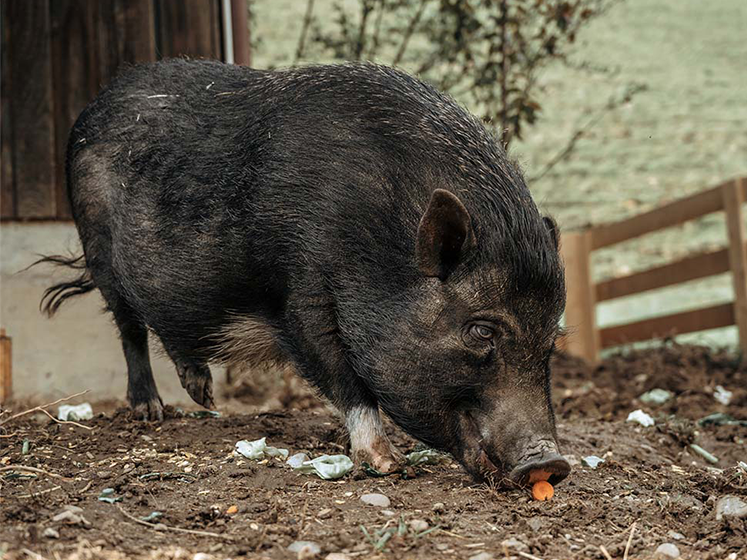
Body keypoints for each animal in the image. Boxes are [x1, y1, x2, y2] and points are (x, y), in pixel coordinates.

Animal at [42, 59, 572, 484]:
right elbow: (341, 375)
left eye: (551, 341)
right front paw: (388, 465)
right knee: (129, 326)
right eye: (481, 330)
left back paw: (205, 398)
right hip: (98, 246)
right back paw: (151, 412)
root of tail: (93, 106)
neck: (376, 239)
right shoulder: (299, 294)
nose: (551, 464)